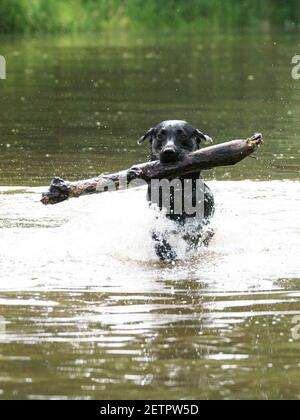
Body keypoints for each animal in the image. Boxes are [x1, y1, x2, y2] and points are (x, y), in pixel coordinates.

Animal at [138, 120, 216, 260]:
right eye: (160, 135)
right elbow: (157, 234)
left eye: (183, 135)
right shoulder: (158, 214)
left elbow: (193, 233)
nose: (169, 151)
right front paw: (165, 251)